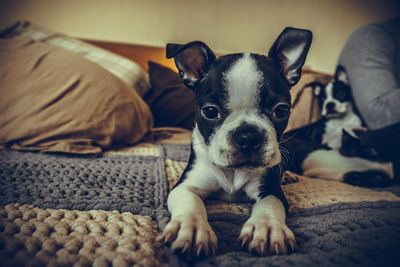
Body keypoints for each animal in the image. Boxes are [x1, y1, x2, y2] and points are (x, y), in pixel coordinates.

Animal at [161, 27, 314, 260]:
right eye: (210, 111)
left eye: (281, 110)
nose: (248, 136)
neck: (233, 172)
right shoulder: (186, 184)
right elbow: (191, 201)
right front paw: (192, 228)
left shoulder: (270, 188)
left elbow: (270, 204)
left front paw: (267, 228)